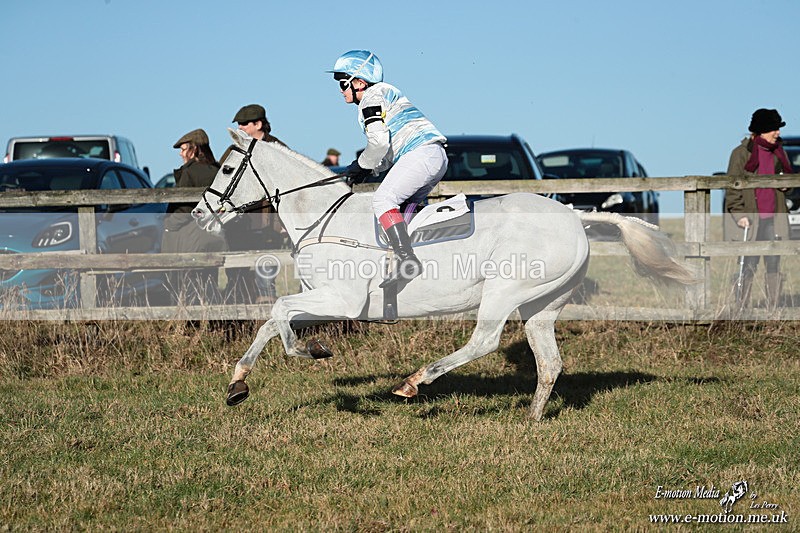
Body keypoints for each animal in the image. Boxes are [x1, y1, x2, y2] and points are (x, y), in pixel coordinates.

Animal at [192, 129, 695, 420]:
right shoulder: (323, 299)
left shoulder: (341, 300)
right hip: (542, 304)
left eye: (228, 166)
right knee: (549, 361)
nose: (200, 214)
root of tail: (576, 215)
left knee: (485, 341)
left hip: (505, 289)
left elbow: (279, 312)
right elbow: (269, 322)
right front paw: (238, 385)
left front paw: (309, 351)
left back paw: (415, 382)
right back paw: (531, 421)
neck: (325, 218)